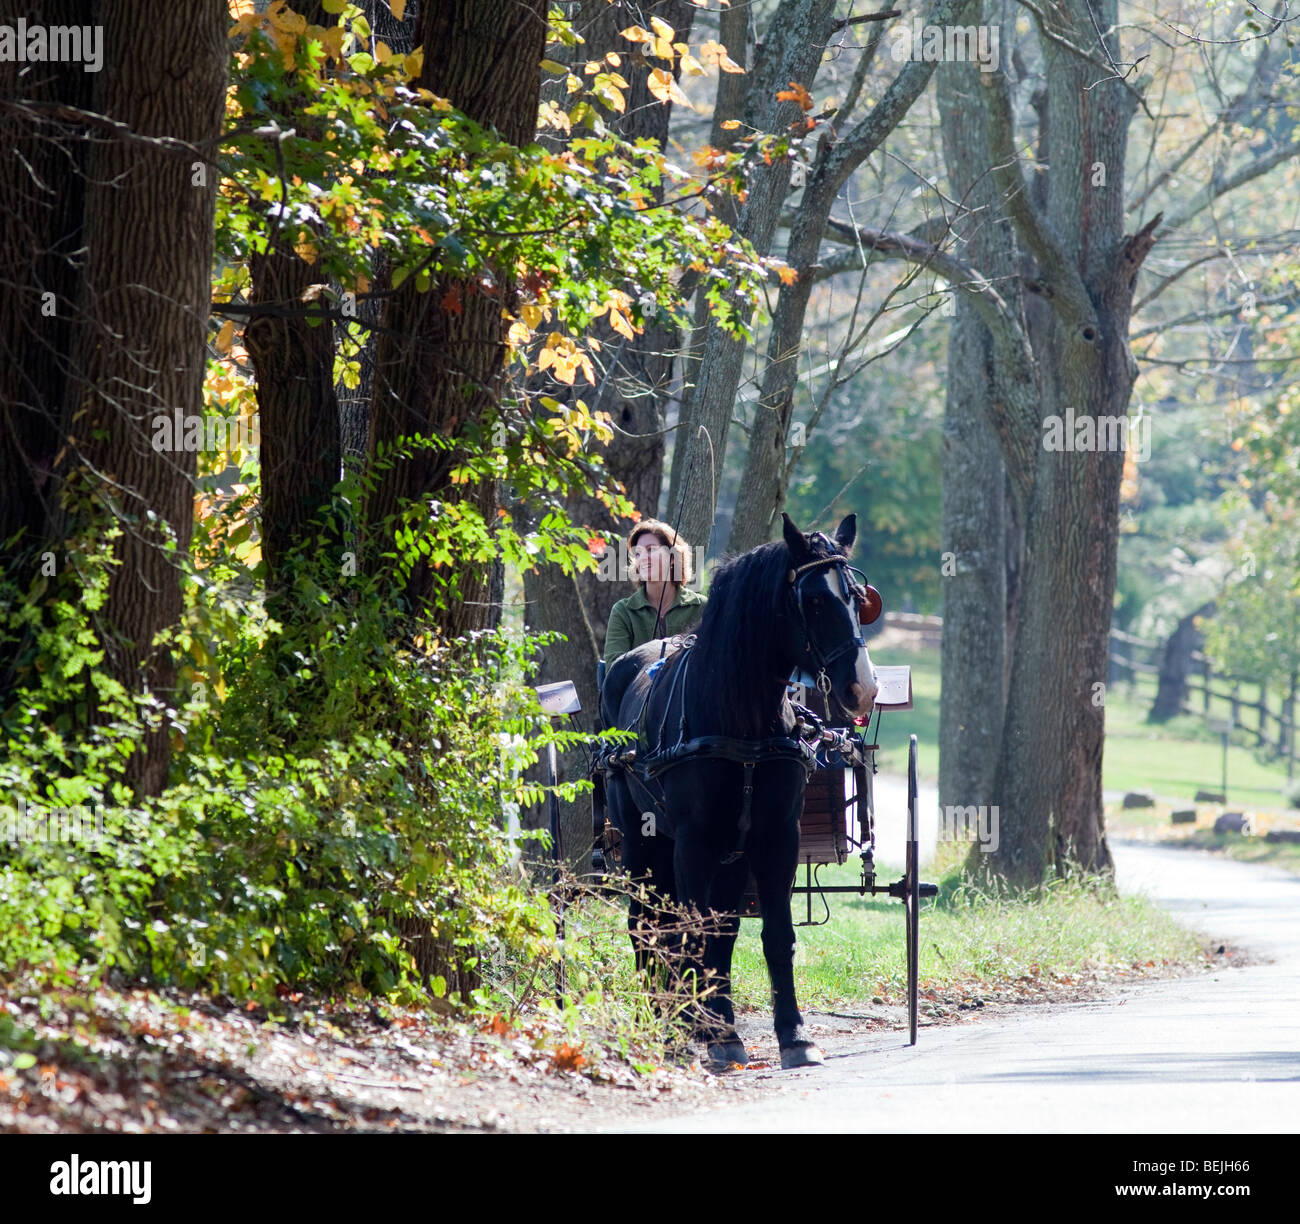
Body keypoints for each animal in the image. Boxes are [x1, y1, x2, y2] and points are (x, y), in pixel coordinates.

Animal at [603, 511, 878, 1070]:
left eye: (857, 598)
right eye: (815, 601)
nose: (862, 688)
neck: (741, 717)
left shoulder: (775, 839)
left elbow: (773, 935)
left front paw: (792, 1035)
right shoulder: (693, 841)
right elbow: (691, 933)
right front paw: (706, 1031)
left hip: (727, 856)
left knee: (716, 931)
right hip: (643, 841)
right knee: (647, 926)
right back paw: (662, 1022)